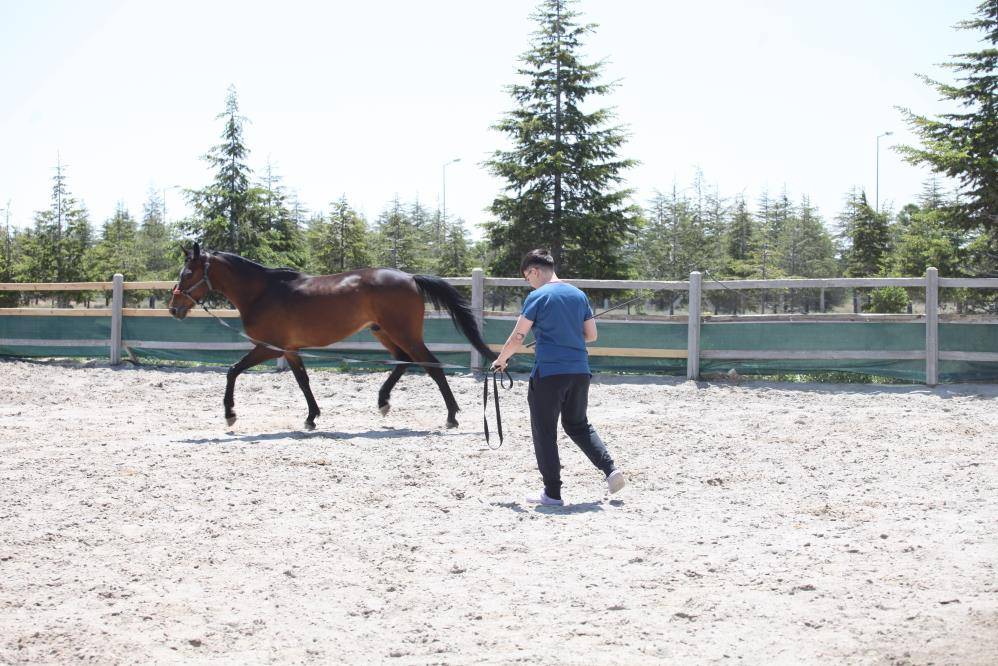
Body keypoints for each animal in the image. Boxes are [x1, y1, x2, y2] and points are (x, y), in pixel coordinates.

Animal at [166, 244, 498, 430]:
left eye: (187, 274)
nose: (173, 308)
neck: (262, 292)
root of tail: (410, 277)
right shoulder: (290, 350)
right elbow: (303, 381)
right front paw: (312, 417)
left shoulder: (269, 348)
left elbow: (232, 371)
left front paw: (230, 414)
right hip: (384, 332)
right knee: (403, 361)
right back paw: (383, 402)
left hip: (404, 333)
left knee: (432, 366)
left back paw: (452, 416)